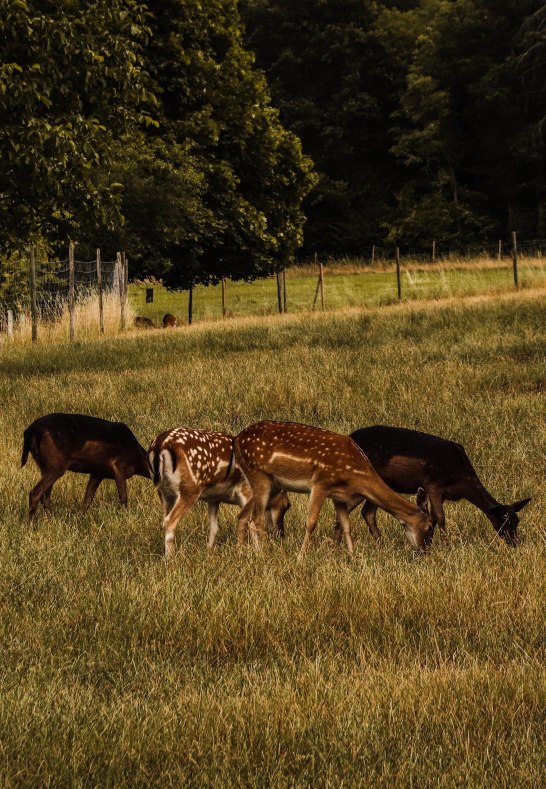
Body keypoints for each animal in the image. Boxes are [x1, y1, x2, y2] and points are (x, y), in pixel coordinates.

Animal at [21, 410, 150, 516]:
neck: (137, 459)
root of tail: (30, 431)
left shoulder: (98, 473)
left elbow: (87, 500)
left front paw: (82, 517)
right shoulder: (119, 466)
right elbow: (123, 498)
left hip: (45, 467)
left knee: (45, 497)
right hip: (55, 465)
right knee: (35, 494)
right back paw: (32, 523)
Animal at [147, 424, 292, 556]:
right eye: (287, 505)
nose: (281, 534)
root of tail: (160, 446)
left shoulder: (214, 498)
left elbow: (214, 527)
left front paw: (209, 551)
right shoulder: (246, 491)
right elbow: (250, 522)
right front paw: (258, 550)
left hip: (164, 492)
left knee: (165, 519)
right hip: (189, 488)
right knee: (169, 521)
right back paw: (171, 558)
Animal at [234, 418, 430, 556]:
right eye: (428, 527)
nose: (423, 551)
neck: (357, 474)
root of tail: (237, 439)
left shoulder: (339, 495)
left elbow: (346, 524)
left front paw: (352, 555)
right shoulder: (321, 483)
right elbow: (311, 522)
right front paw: (301, 556)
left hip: (272, 483)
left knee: (246, 515)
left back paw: (248, 549)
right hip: (259, 474)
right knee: (257, 517)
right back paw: (265, 551)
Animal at [346, 424, 528, 548]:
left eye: (517, 521)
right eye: (504, 521)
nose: (514, 543)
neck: (462, 479)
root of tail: (349, 436)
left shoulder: (441, 493)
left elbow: (432, 517)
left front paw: (428, 543)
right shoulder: (432, 484)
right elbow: (440, 517)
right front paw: (446, 546)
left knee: (367, 512)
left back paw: (381, 544)